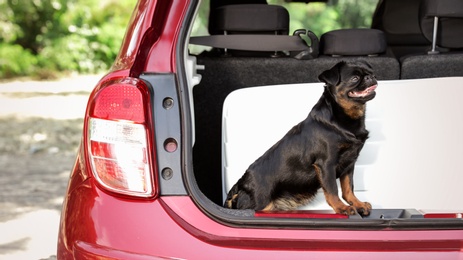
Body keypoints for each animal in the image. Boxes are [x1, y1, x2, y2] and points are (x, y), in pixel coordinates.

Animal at [223, 60, 378, 215]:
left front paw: (358, 204)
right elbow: (332, 190)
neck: (346, 118)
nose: (371, 77)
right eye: (355, 78)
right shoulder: (326, 164)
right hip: (261, 204)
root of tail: (239, 185)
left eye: (371, 73)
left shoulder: (349, 163)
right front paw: (341, 208)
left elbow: (348, 188)